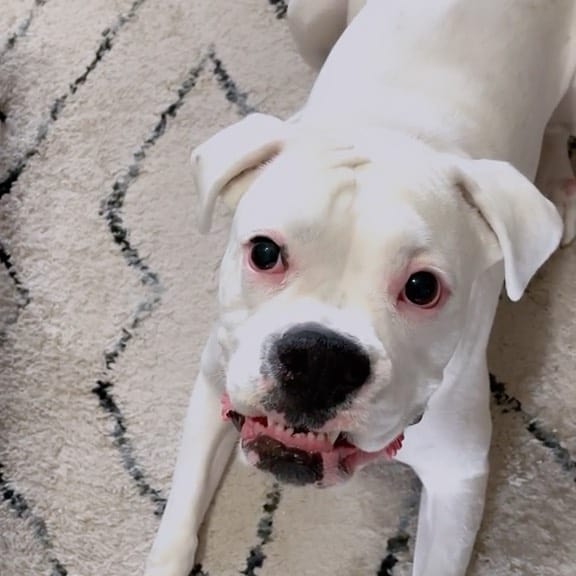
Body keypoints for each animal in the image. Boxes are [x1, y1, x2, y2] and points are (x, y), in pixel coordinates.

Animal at [146, 1, 576, 576]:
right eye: (264, 253)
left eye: (422, 287)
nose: (320, 358)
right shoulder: (217, 383)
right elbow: (180, 511)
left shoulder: (457, 478)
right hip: (310, 21)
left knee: (558, 126)